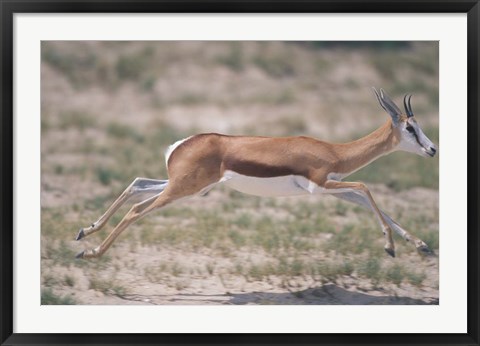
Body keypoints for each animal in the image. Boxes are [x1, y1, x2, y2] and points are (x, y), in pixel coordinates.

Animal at [74, 89, 436, 260]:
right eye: (410, 127)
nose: (432, 150)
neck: (334, 151)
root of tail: (181, 144)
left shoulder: (332, 188)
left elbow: (374, 203)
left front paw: (420, 246)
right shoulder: (322, 185)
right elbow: (365, 187)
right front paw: (391, 248)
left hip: (187, 187)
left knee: (137, 184)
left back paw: (84, 232)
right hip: (181, 190)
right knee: (136, 210)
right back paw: (91, 253)